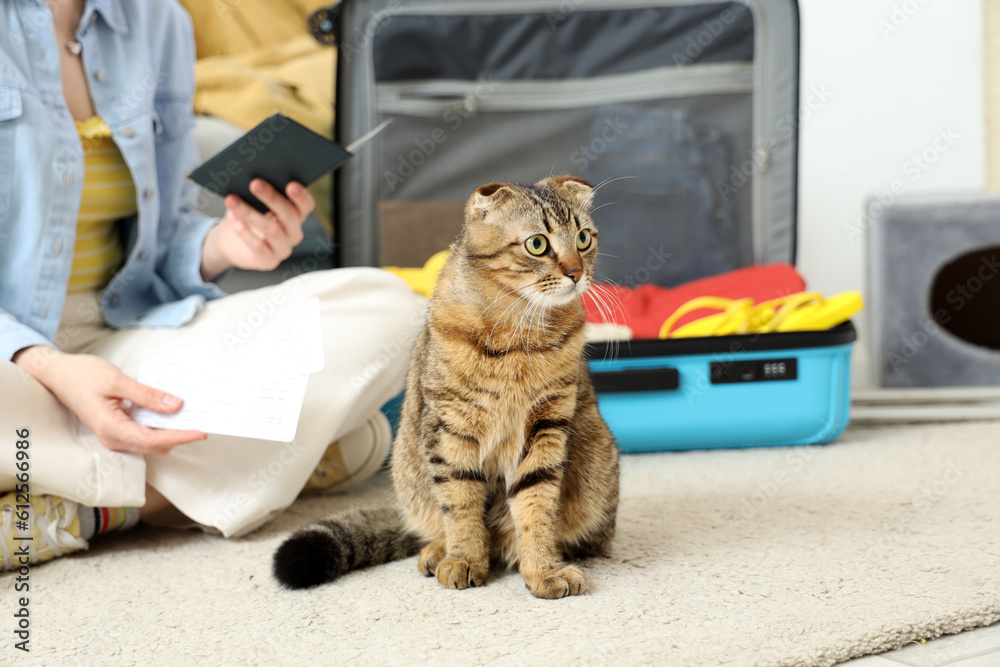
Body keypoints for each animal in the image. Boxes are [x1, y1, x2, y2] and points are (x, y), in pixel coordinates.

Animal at [272, 176, 616, 600]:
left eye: (583, 238)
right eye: (537, 244)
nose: (576, 272)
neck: (519, 335)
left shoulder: (546, 427)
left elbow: (537, 507)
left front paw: (543, 569)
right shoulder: (450, 429)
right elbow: (461, 504)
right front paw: (465, 558)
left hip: (598, 468)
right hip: (409, 468)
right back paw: (439, 551)